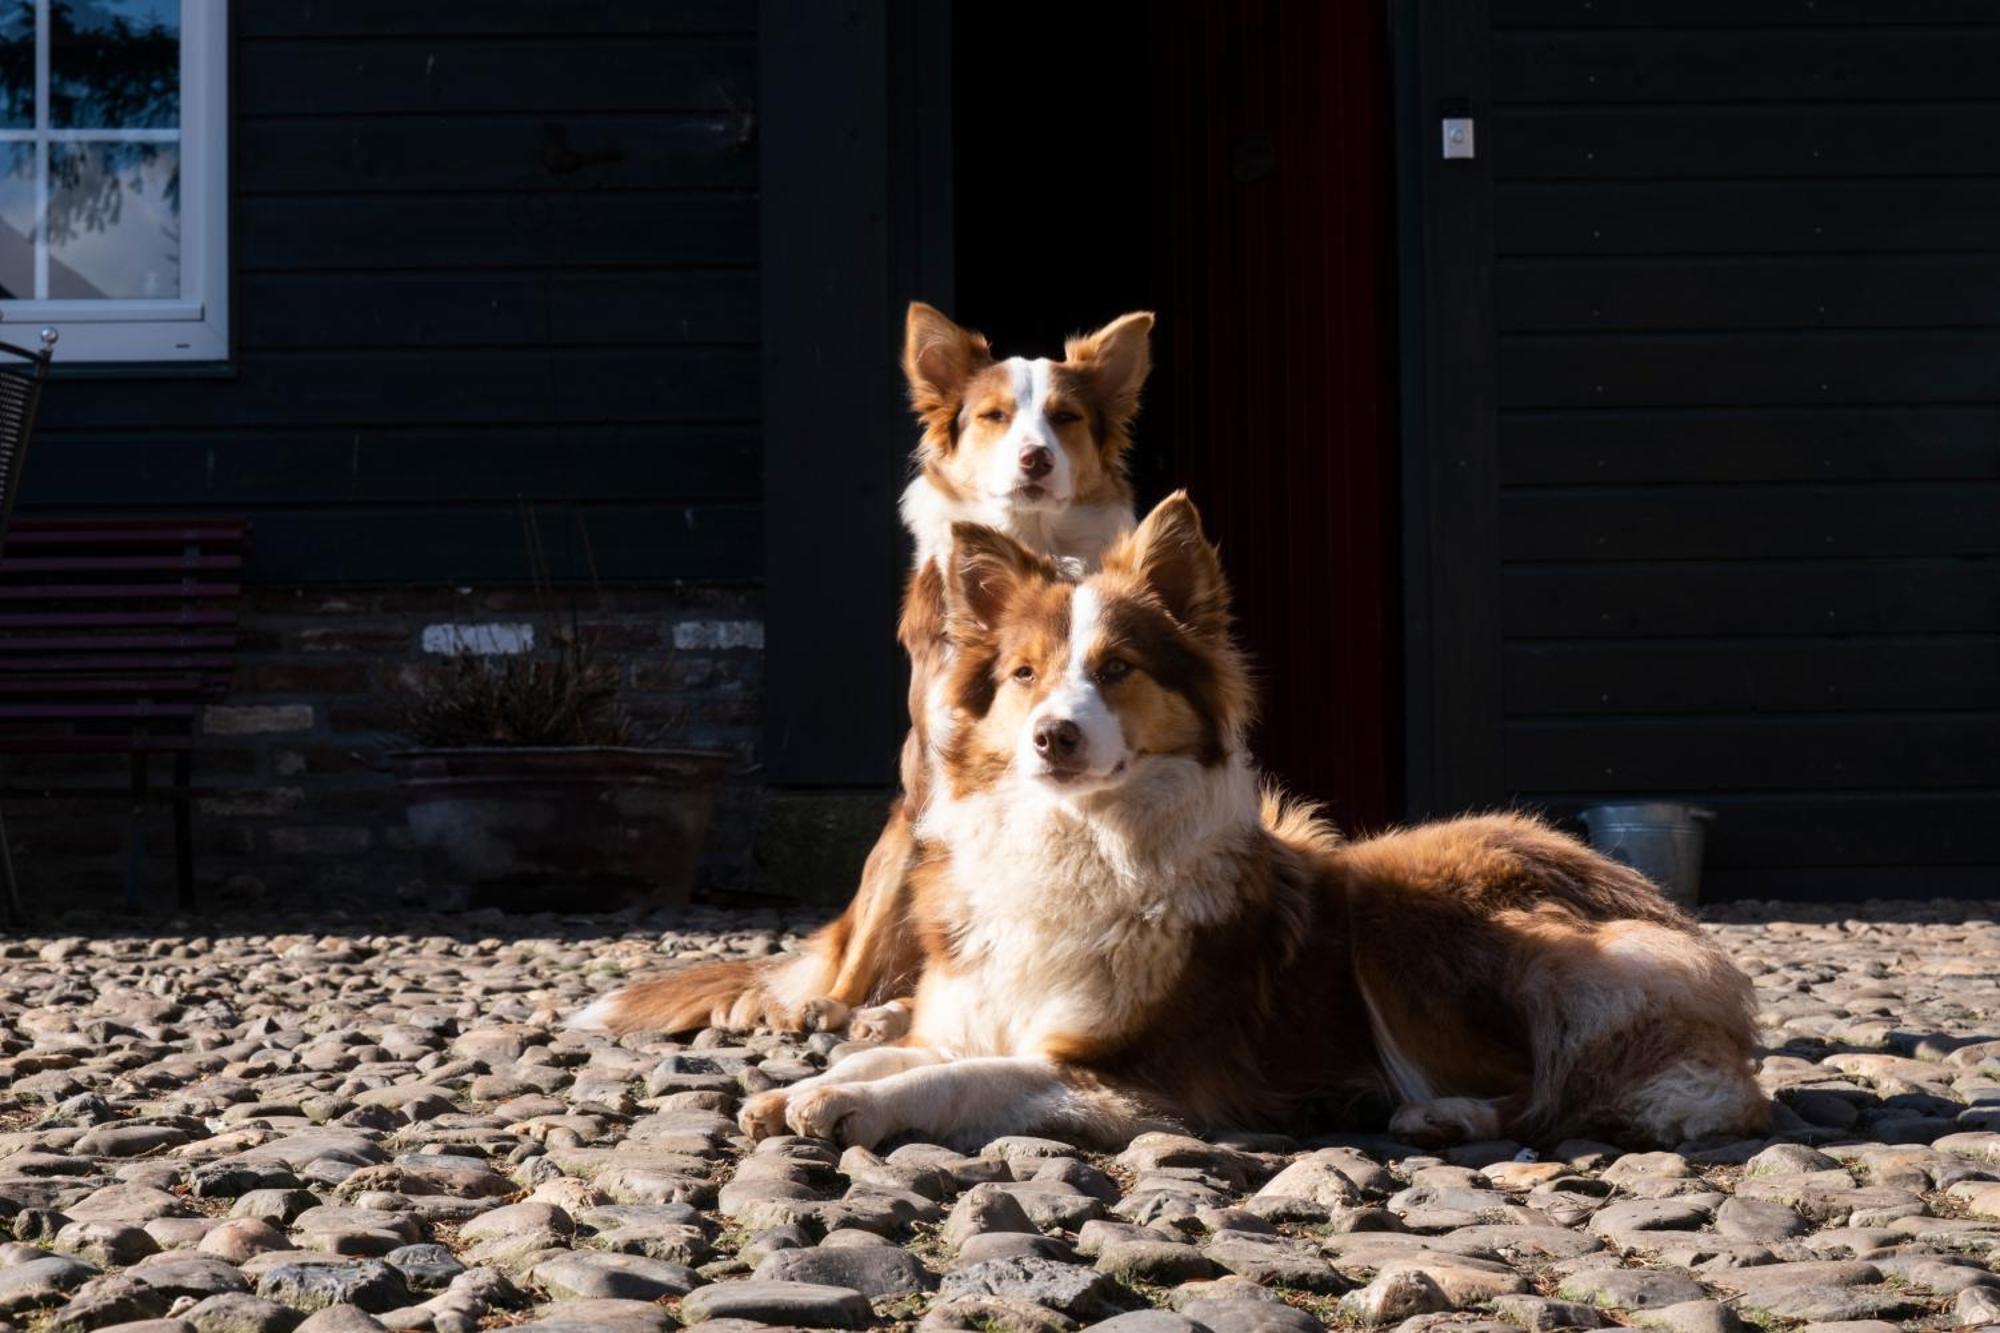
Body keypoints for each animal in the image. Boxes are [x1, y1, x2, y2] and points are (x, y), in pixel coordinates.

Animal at [572, 304, 1152, 1040]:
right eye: (994, 416)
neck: (1032, 547)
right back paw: (833, 1009)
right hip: (897, 844)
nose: (1036, 457)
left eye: (1065, 417)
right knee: (863, 964)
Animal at [728, 492, 1776, 1144]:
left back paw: (1443, 1115)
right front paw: (807, 1085)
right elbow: (893, 1047)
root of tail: (1648, 901)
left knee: (1551, 1092)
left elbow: (959, 1078)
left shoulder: (1134, 1077)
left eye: (1117, 668)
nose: (1052, 737)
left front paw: (859, 1107)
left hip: (1397, 903)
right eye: (1023, 673)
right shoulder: (971, 1013)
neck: (1076, 838)